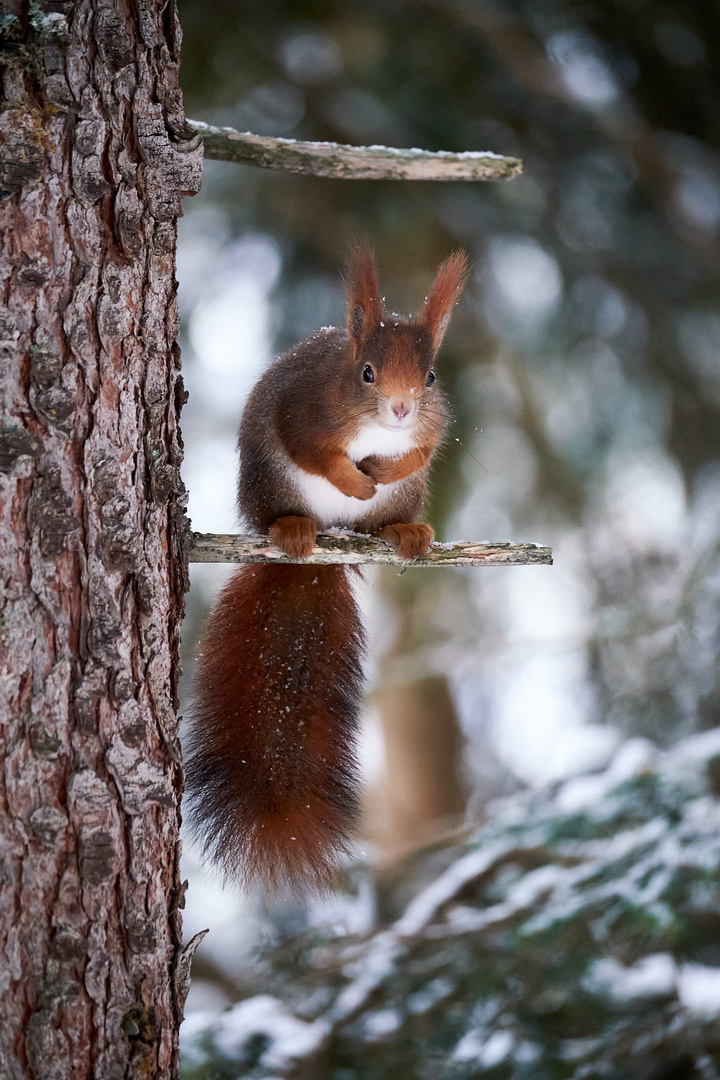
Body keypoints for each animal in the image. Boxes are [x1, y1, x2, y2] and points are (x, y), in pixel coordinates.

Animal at [185, 248, 468, 889]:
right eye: (366, 372)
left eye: (431, 378)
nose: (400, 409)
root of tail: (331, 545)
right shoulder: (306, 411)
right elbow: (314, 450)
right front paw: (353, 477)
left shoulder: (432, 423)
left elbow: (424, 447)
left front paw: (386, 468)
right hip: (271, 485)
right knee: (286, 508)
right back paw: (294, 528)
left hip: (400, 504)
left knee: (385, 522)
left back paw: (404, 532)